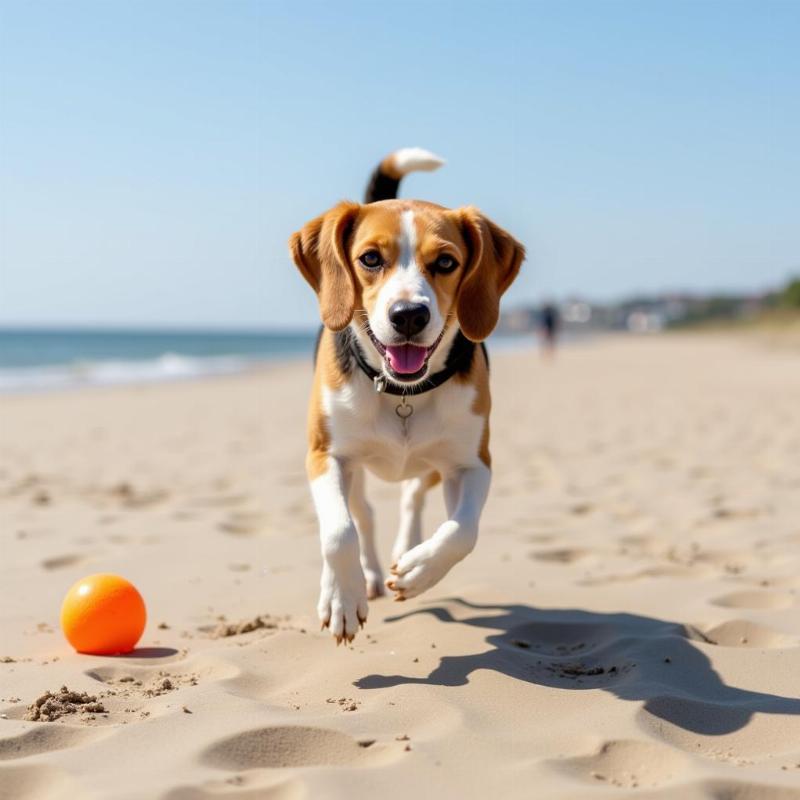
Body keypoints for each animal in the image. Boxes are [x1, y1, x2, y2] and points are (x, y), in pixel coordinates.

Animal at [288, 150, 524, 644]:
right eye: (370, 258)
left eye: (447, 262)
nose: (409, 315)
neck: (402, 393)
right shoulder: (324, 455)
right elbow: (338, 531)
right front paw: (342, 599)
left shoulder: (473, 463)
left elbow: (463, 531)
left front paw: (419, 570)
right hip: (353, 468)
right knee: (361, 514)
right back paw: (367, 577)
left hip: (433, 463)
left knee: (413, 495)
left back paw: (408, 550)